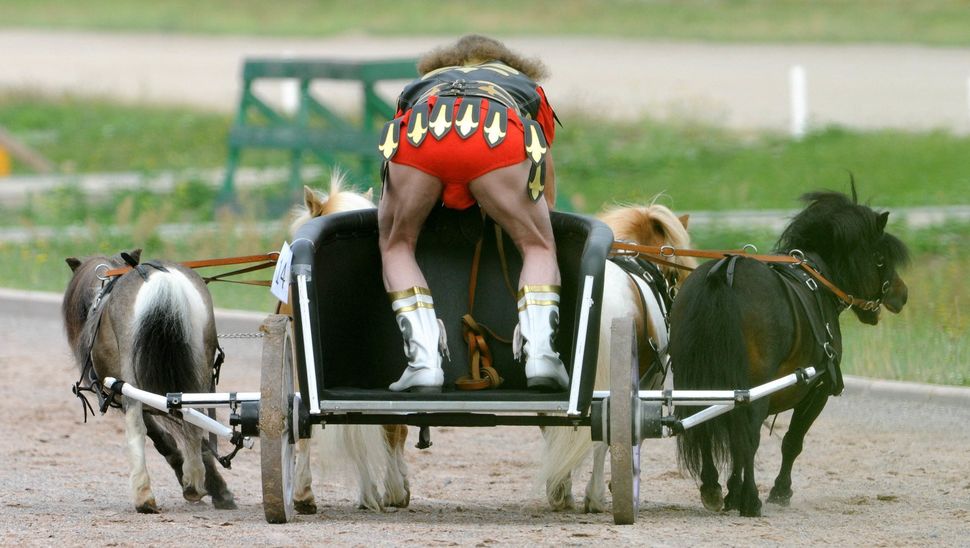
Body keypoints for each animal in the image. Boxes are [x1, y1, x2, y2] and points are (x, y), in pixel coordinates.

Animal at [63, 248, 234, 512]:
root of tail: (162, 281)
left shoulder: (124, 392)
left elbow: (160, 438)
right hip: (199, 364)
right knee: (194, 419)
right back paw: (195, 481)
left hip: (132, 382)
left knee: (137, 427)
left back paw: (146, 495)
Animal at [536, 201, 696, 512]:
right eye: (674, 275)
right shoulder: (648, 385)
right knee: (600, 436)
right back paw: (595, 495)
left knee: (549, 425)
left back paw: (559, 491)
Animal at [668, 185, 904, 520]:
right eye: (880, 257)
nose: (902, 294)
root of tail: (724, 273)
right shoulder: (817, 390)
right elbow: (792, 442)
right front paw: (778, 491)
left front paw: (732, 492)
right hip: (753, 390)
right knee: (748, 436)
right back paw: (751, 500)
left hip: (695, 379)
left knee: (703, 422)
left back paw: (712, 488)